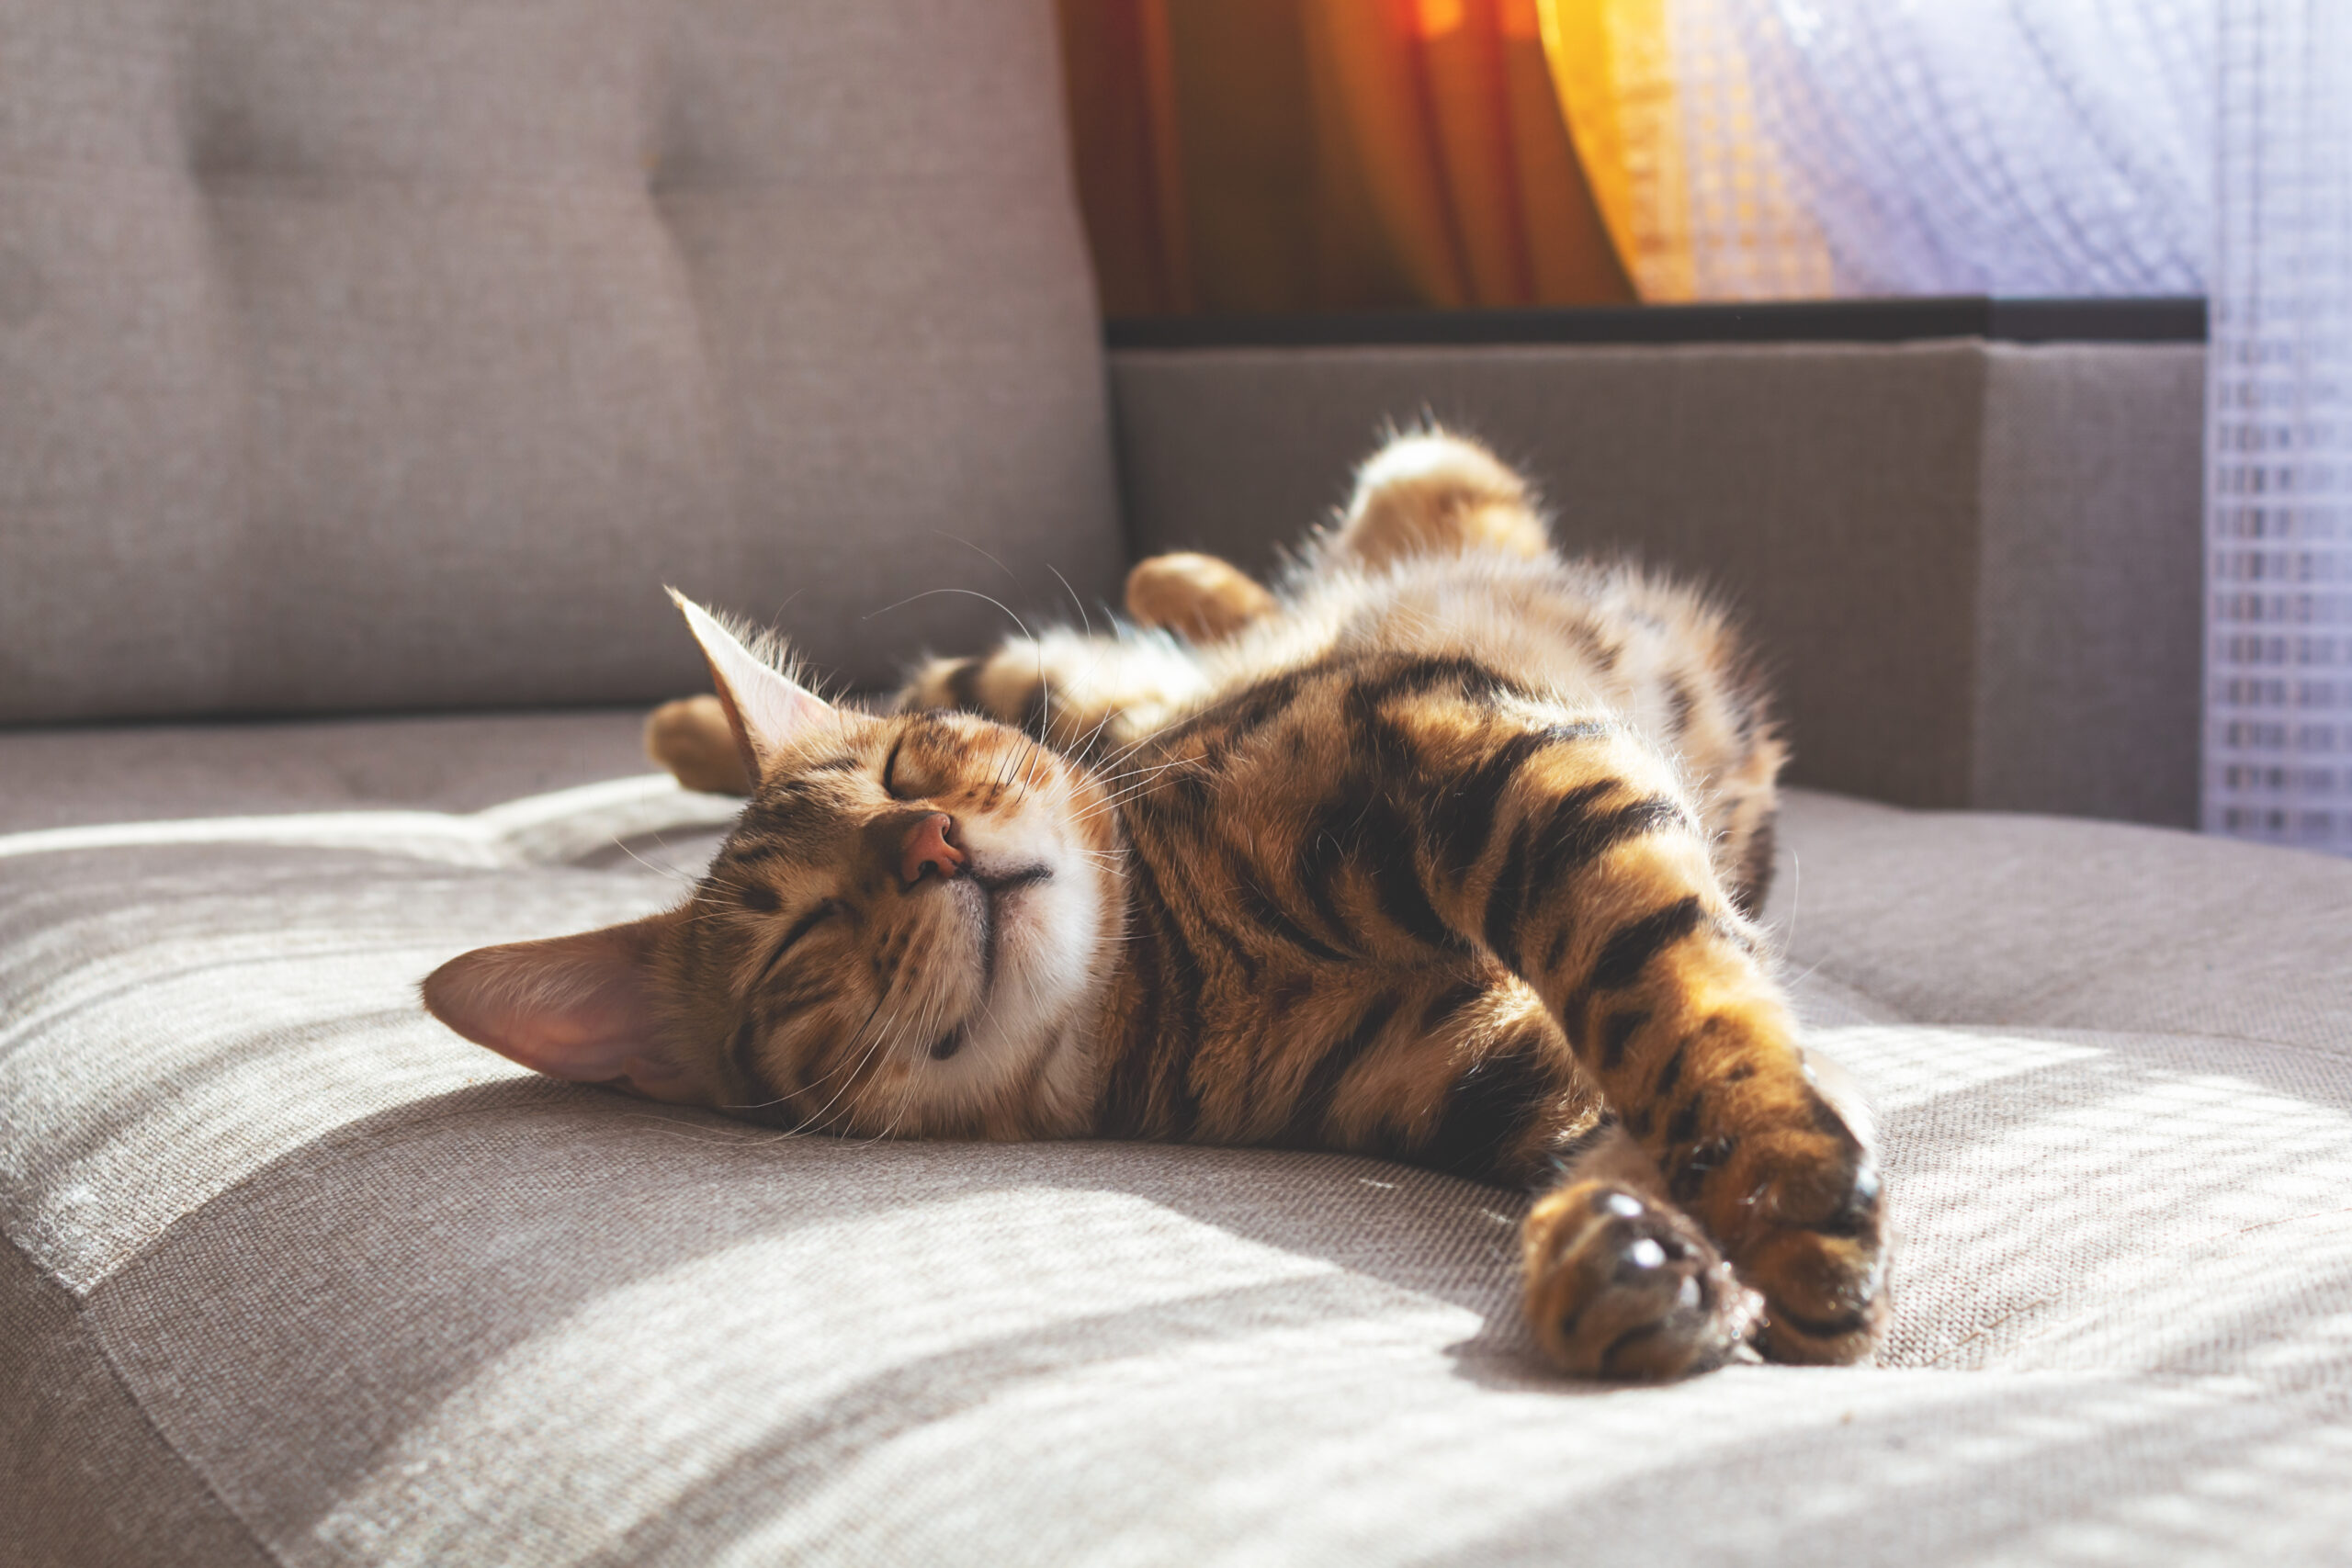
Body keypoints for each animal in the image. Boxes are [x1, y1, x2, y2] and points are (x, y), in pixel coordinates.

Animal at [423, 432, 1891, 1382]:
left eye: (905, 774)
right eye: (800, 937)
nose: (931, 842)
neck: (1179, 974)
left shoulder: (1461, 732)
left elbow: (1668, 986)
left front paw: (1776, 1187)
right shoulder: (1495, 1062)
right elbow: (1626, 1087)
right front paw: (1639, 1256)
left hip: (1307, 556)